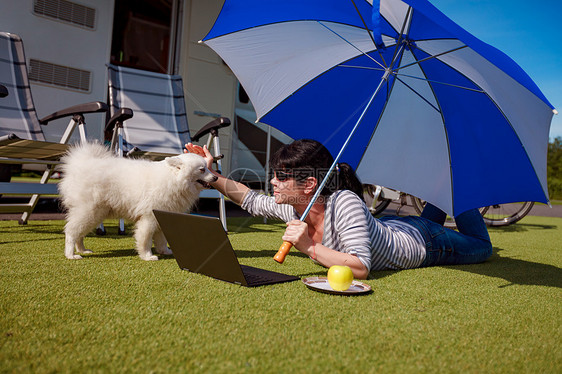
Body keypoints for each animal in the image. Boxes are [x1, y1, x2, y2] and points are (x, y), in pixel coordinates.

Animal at [58, 142, 217, 262]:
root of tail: (81, 165)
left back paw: (82, 250)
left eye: (208, 168)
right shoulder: (149, 218)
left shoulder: (161, 216)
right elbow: (145, 238)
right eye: (202, 169)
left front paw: (164, 251)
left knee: (79, 233)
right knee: (71, 231)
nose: (215, 178)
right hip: (89, 211)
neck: (173, 179)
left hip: (95, 214)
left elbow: (161, 239)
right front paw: (147, 256)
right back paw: (71, 255)